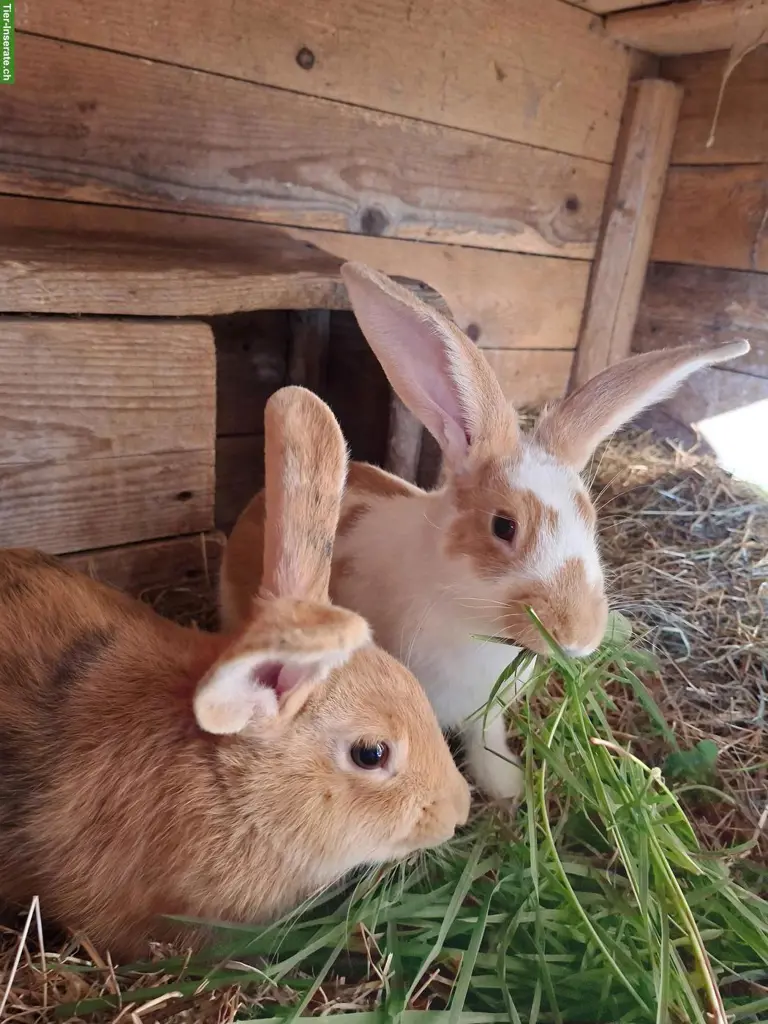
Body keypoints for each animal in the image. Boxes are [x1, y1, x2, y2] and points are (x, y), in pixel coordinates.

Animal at [221, 264, 750, 804]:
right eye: (503, 526)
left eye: (591, 520)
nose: (579, 636)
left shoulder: (486, 712)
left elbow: (486, 739)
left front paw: (507, 785)